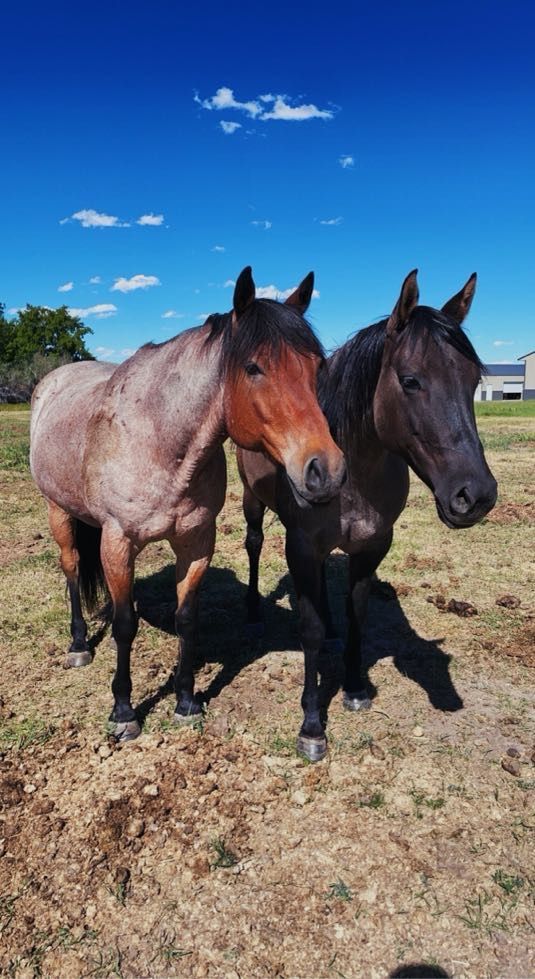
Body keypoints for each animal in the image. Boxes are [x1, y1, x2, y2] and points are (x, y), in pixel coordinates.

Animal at [30, 267, 346, 741]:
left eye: (317, 367)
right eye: (253, 367)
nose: (326, 470)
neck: (160, 440)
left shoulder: (196, 542)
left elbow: (186, 620)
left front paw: (185, 700)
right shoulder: (117, 543)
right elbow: (125, 624)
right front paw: (123, 710)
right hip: (58, 510)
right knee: (71, 567)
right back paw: (79, 643)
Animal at [237, 270, 498, 761]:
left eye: (474, 380)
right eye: (411, 380)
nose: (475, 496)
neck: (352, 470)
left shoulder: (372, 544)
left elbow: (356, 611)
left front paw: (355, 688)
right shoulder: (302, 545)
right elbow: (309, 629)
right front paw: (312, 725)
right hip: (251, 501)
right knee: (255, 544)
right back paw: (252, 611)